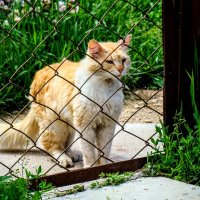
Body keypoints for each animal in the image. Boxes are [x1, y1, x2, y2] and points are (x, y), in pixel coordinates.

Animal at [0, 34, 132, 167]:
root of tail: (39, 73)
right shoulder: (85, 126)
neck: (106, 88)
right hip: (53, 125)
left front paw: (103, 166)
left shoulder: (107, 125)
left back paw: (71, 154)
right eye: (109, 62)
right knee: (53, 147)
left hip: (69, 126)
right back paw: (64, 159)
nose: (121, 69)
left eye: (123, 60)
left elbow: (104, 150)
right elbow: (89, 152)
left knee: (66, 145)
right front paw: (90, 167)